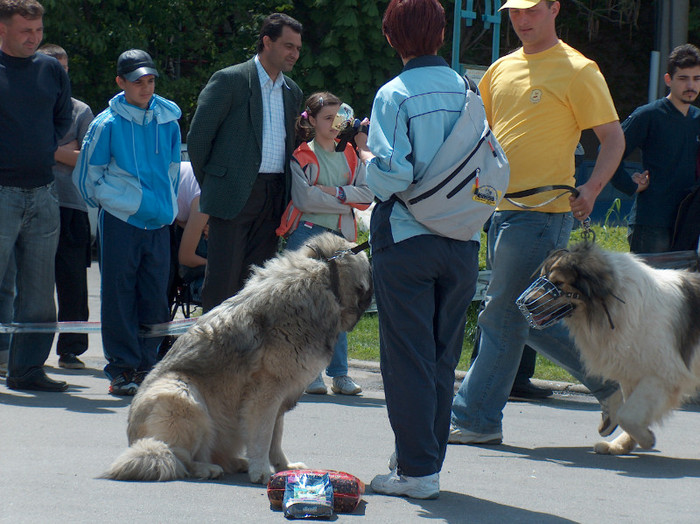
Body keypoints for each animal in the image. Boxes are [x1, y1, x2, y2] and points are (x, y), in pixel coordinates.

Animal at [102, 232, 372, 484]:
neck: (325, 278)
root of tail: (133, 439)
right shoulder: (266, 394)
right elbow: (263, 435)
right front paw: (261, 471)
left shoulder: (280, 396)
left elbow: (275, 438)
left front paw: (284, 467)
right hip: (180, 393)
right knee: (176, 457)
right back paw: (206, 468)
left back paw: (234, 462)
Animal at [532, 245, 700, 454]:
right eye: (542, 277)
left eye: (558, 283)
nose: (525, 303)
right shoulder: (632, 374)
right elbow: (628, 411)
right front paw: (622, 445)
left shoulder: (662, 375)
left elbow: (626, 415)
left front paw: (646, 439)